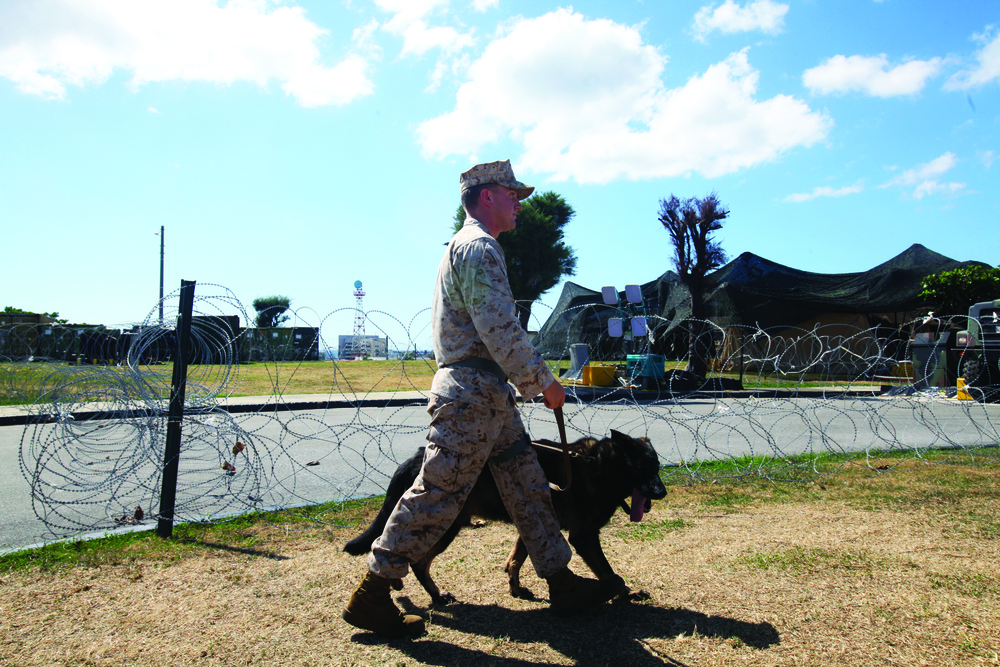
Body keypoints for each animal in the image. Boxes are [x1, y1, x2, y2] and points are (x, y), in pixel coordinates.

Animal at [344, 430, 664, 608]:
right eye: (640, 467)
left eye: (658, 465)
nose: (662, 492)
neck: (599, 466)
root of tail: (414, 459)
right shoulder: (583, 538)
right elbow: (608, 572)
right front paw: (623, 593)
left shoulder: (533, 524)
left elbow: (515, 560)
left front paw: (516, 589)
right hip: (443, 526)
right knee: (413, 559)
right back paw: (421, 592)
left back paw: (410, 589)